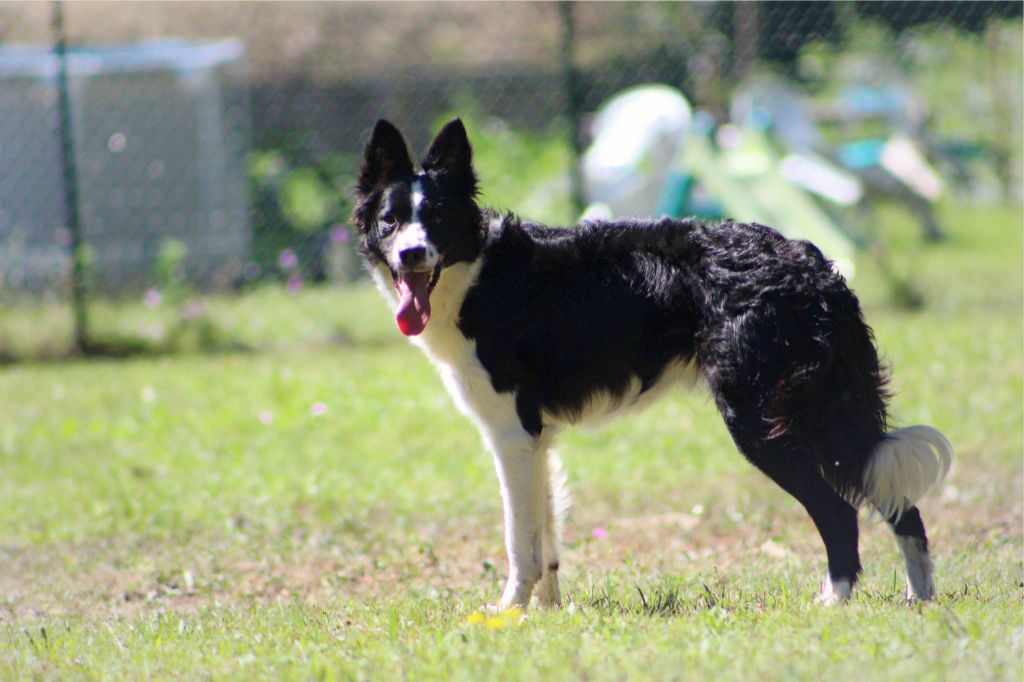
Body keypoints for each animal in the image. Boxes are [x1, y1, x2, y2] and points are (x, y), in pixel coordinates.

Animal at [352, 116, 950, 606]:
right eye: (390, 220)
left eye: (435, 218)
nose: (412, 254)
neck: (474, 272)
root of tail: (810, 264)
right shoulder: (536, 437)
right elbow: (546, 536)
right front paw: (548, 613)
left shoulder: (511, 433)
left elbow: (519, 539)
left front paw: (509, 614)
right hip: (822, 412)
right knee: (901, 504)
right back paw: (920, 600)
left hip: (762, 422)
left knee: (840, 511)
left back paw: (835, 602)